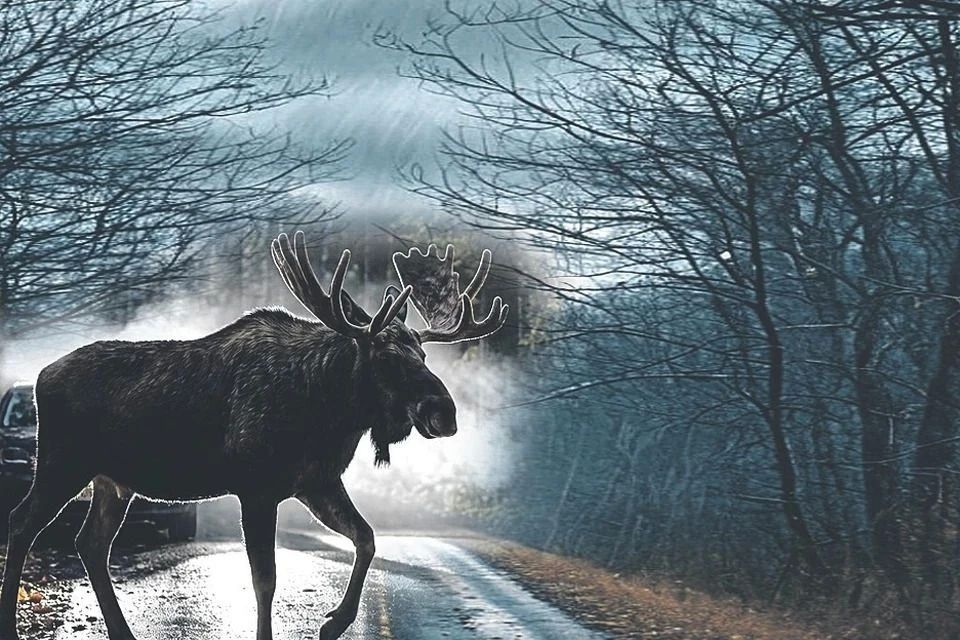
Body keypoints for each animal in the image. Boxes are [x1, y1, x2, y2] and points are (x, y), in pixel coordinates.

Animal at [0, 231, 508, 640]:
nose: (444, 412)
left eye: (423, 355)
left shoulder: (317, 482)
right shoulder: (257, 488)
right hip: (63, 463)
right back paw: (11, 624)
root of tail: (42, 374)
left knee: (90, 544)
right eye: (385, 357)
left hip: (114, 482)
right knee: (22, 522)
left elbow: (366, 538)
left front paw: (334, 623)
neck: (329, 413)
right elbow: (266, 579)